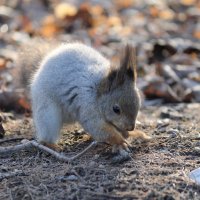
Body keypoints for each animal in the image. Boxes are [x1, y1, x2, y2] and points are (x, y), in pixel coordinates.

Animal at [14, 41, 150, 155]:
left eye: (138, 104)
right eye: (116, 109)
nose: (131, 127)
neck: (97, 91)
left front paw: (134, 134)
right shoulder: (88, 106)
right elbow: (99, 129)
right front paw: (120, 142)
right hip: (47, 113)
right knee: (45, 134)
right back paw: (51, 145)